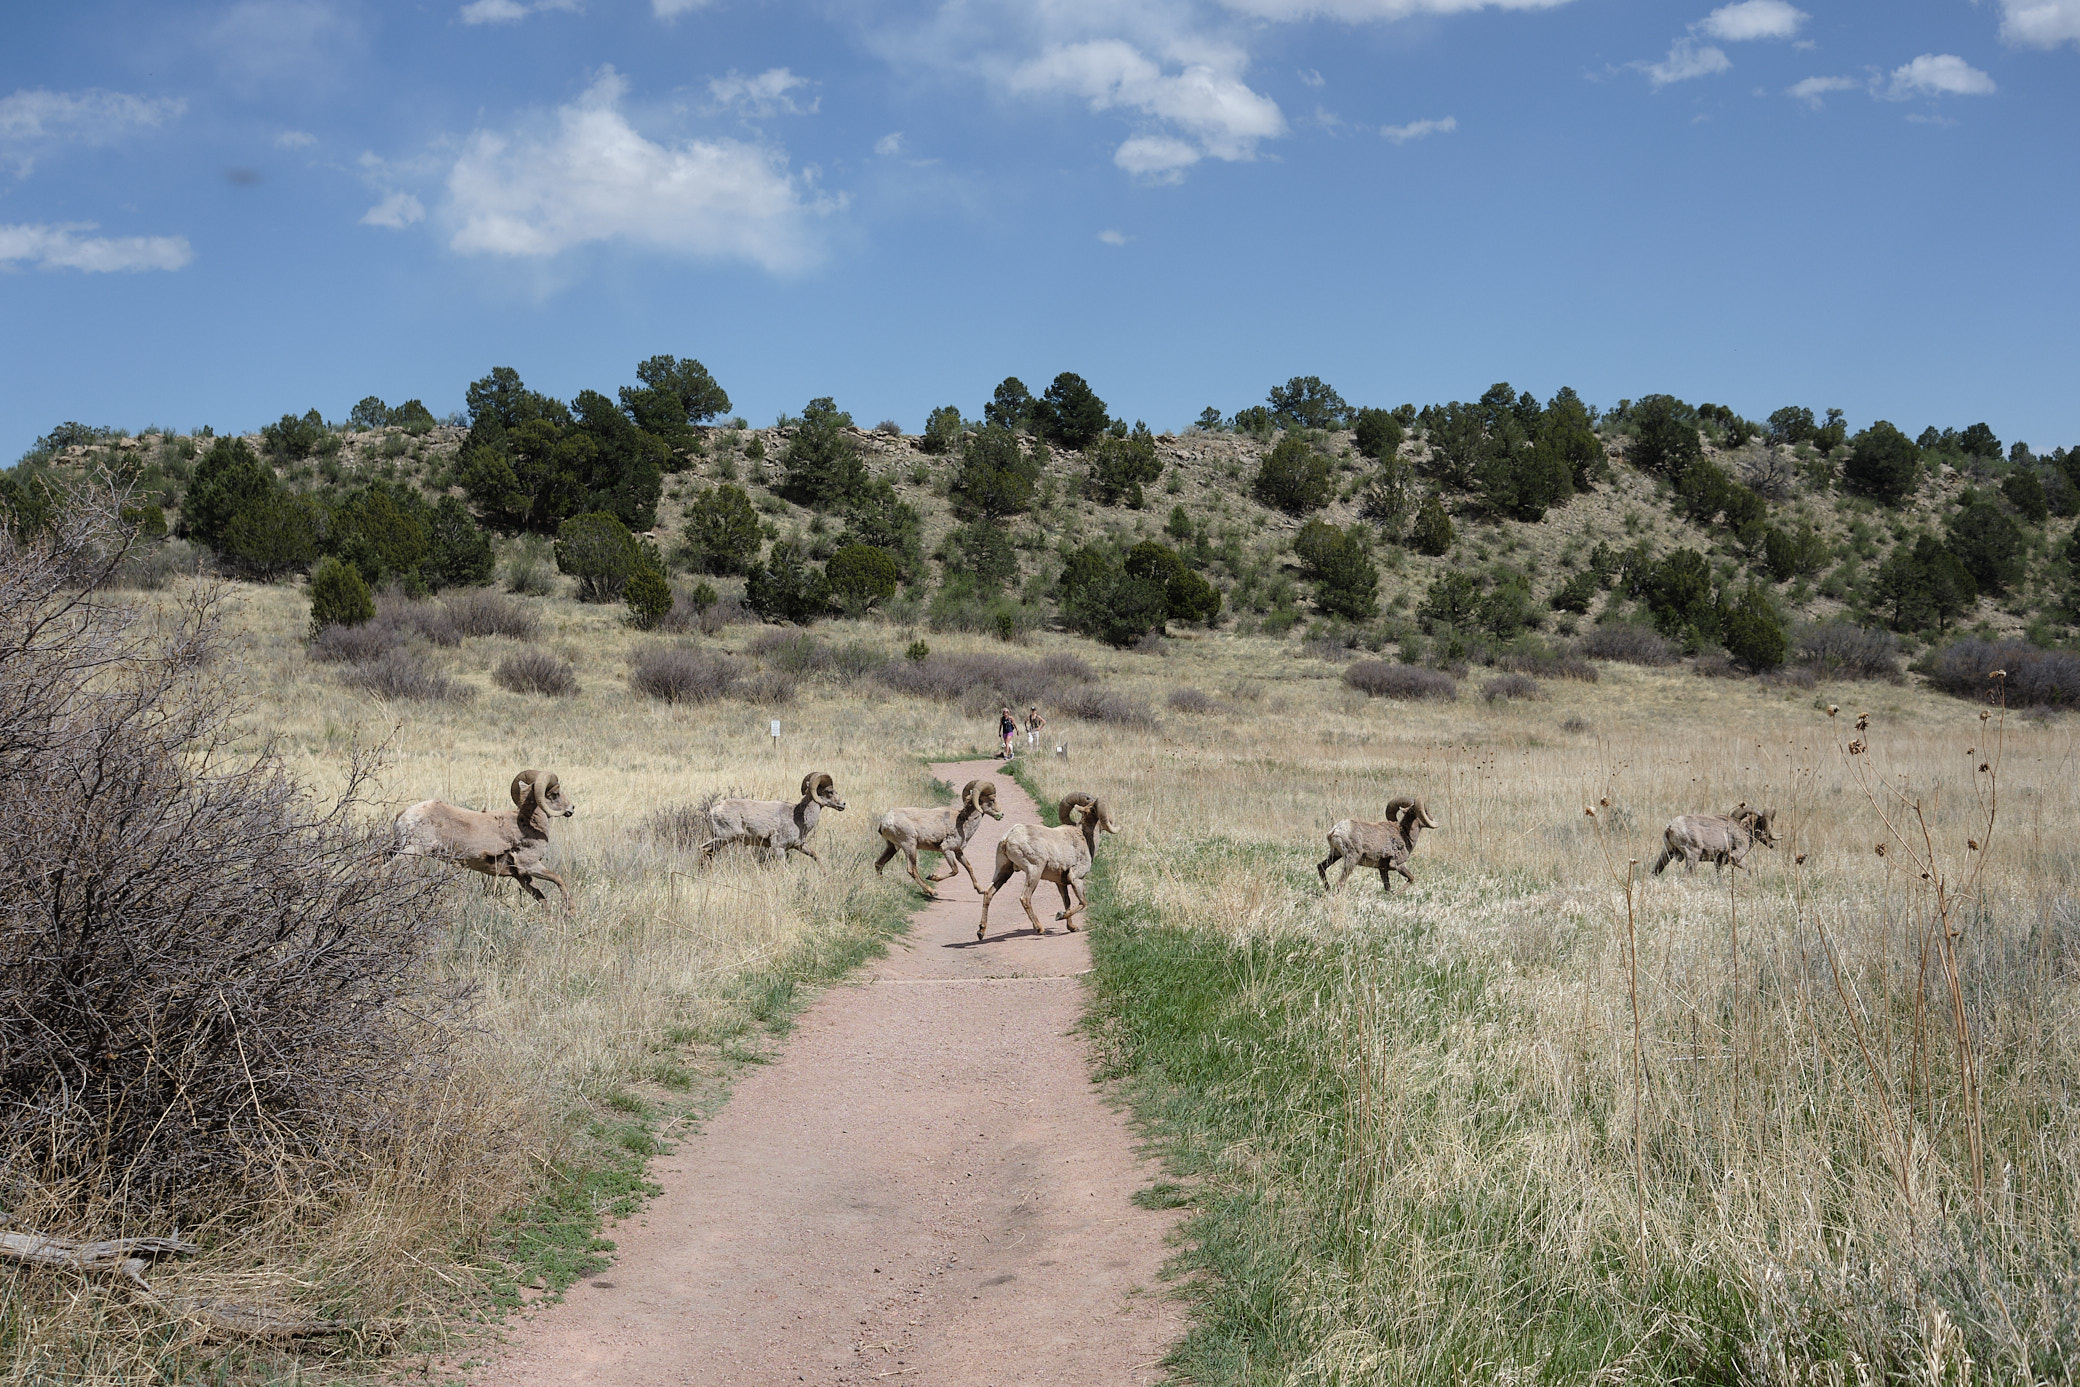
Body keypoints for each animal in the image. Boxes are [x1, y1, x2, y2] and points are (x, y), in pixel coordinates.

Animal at [393, 769, 578, 910]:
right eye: (555, 794)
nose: (572, 808)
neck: (530, 823)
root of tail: (404, 814)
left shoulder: (522, 876)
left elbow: (541, 899)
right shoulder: (530, 866)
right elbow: (558, 879)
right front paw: (569, 911)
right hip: (411, 852)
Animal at [698, 777, 844, 860]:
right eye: (830, 792)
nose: (843, 804)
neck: (799, 818)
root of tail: (713, 810)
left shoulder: (800, 846)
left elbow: (816, 856)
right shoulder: (779, 848)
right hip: (724, 838)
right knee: (704, 849)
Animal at [873, 781, 1002, 902]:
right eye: (992, 800)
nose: (1001, 814)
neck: (963, 823)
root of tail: (885, 822)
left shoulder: (958, 852)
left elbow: (969, 867)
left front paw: (980, 890)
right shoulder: (946, 849)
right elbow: (955, 870)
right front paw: (932, 877)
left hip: (892, 846)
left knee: (879, 863)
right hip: (909, 846)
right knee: (912, 869)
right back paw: (931, 891)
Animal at [977, 790, 1114, 944]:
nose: (1110, 820)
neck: (1084, 837)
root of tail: (1007, 838)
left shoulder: (1061, 883)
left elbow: (1067, 901)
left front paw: (1072, 927)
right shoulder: (1076, 878)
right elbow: (1083, 902)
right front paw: (1060, 915)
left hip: (1003, 871)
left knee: (988, 893)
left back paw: (981, 931)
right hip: (1034, 871)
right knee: (1025, 898)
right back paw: (1039, 928)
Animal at [1647, 806, 1780, 873]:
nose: (1772, 844)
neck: (1744, 832)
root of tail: (1671, 828)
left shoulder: (1718, 863)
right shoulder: (1736, 857)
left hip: (1667, 854)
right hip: (1692, 857)